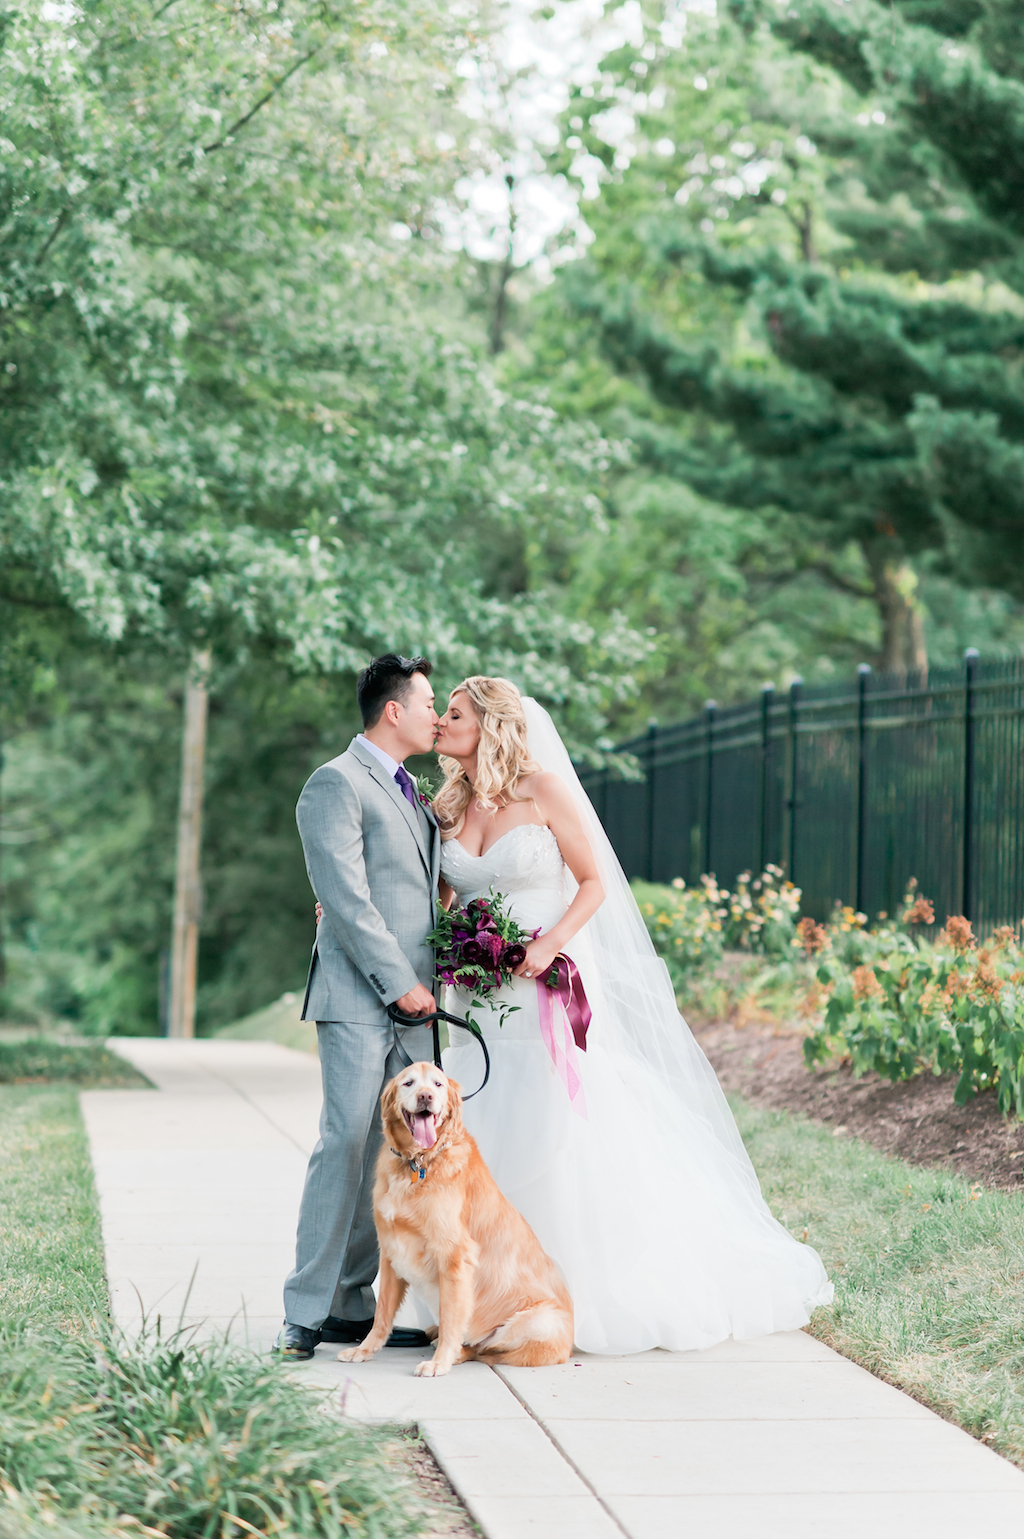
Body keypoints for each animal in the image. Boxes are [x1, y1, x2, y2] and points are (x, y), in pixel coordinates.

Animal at [337, 1064, 569, 1378]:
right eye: (409, 1083)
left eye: (438, 1084)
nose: (425, 1096)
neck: (418, 1163)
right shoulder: (391, 1249)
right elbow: (382, 1313)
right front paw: (363, 1349)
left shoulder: (454, 1256)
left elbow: (451, 1318)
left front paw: (440, 1362)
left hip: (537, 1321)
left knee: (485, 1348)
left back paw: (454, 1352)